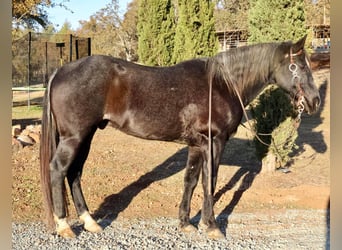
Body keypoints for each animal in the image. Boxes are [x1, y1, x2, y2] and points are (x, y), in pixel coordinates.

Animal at [40, 35, 320, 238]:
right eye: (298, 66)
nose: (315, 101)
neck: (223, 84)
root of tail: (61, 71)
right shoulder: (214, 143)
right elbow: (210, 182)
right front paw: (212, 226)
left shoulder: (196, 145)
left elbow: (191, 181)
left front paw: (186, 223)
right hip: (74, 138)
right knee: (58, 170)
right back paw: (64, 226)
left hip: (85, 137)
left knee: (74, 173)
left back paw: (90, 222)